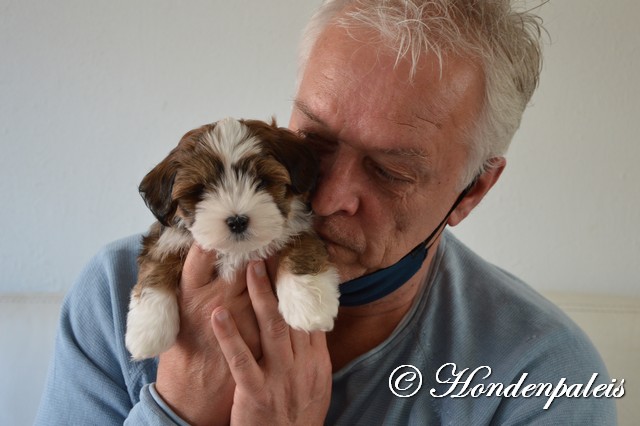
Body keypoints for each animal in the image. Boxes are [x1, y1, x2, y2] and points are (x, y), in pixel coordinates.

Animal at [124, 116, 340, 360]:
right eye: (200, 190)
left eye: (262, 181)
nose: (237, 221)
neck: (237, 251)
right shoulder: (166, 237)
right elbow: (156, 264)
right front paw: (148, 331)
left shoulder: (300, 225)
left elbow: (303, 244)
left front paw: (309, 303)